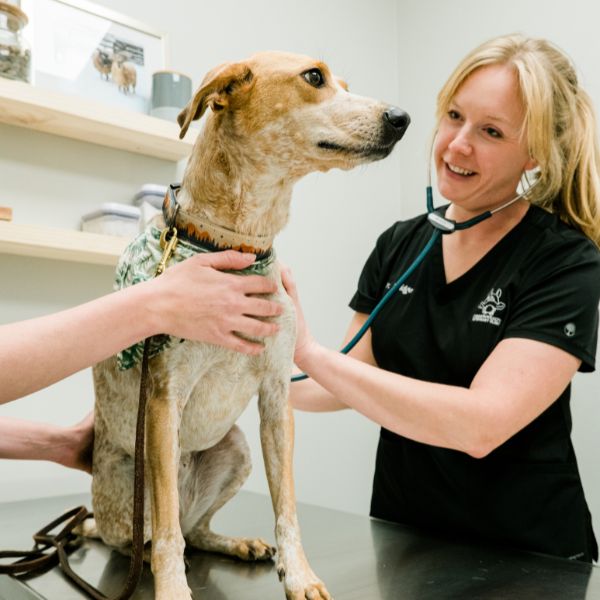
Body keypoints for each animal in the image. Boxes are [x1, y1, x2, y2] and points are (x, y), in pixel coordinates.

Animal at [91, 52, 410, 600]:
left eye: (346, 82)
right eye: (314, 77)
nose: (402, 118)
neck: (238, 244)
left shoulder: (277, 397)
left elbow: (287, 507)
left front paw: (298, 574)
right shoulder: (164, 399)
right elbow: (168, 534)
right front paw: (172, 590)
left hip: (236, 449)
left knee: (197, 529)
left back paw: (236, 543)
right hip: (133, 482)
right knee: (157, 534)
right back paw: (152, 556)